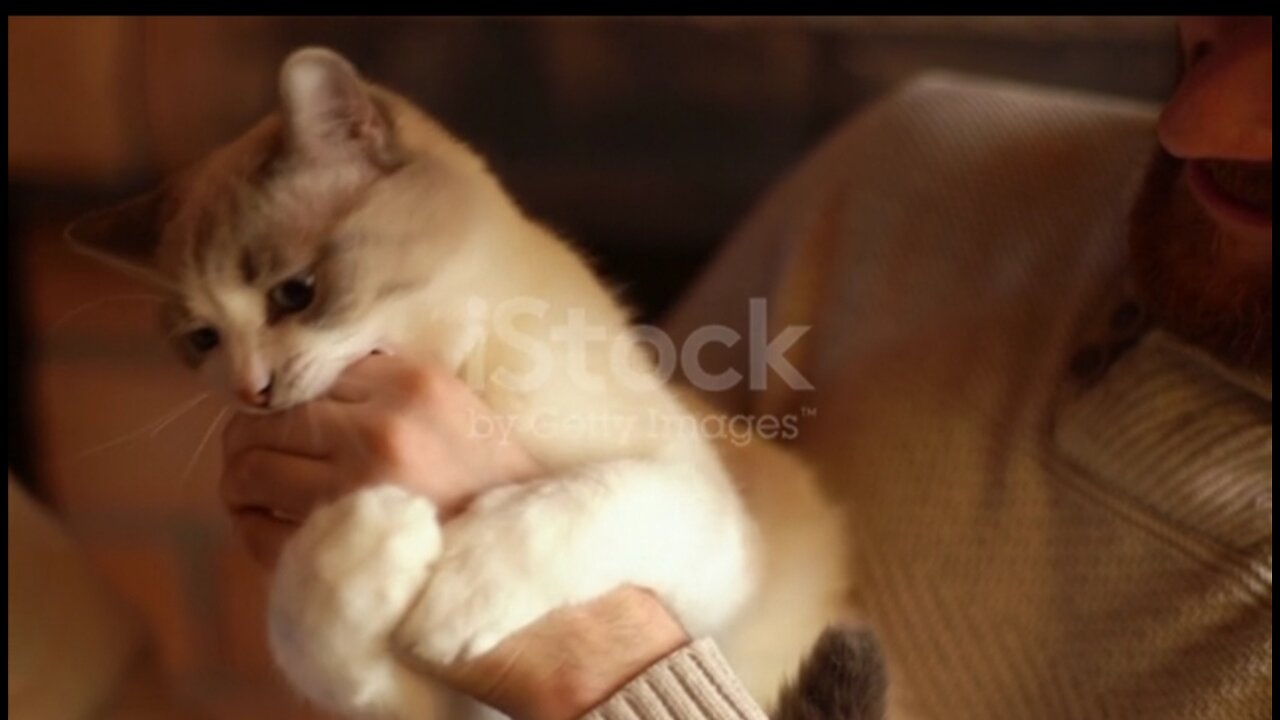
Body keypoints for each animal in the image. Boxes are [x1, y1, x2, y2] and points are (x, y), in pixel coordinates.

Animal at [67, 47, 849, 712]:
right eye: (203, 340)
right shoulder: (425, 705)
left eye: (295, 293)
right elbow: (303, 624)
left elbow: (587, 498)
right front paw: (371, 533)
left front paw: (463, 586)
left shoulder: (710, 538)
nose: (251, 389)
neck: (457, 363)